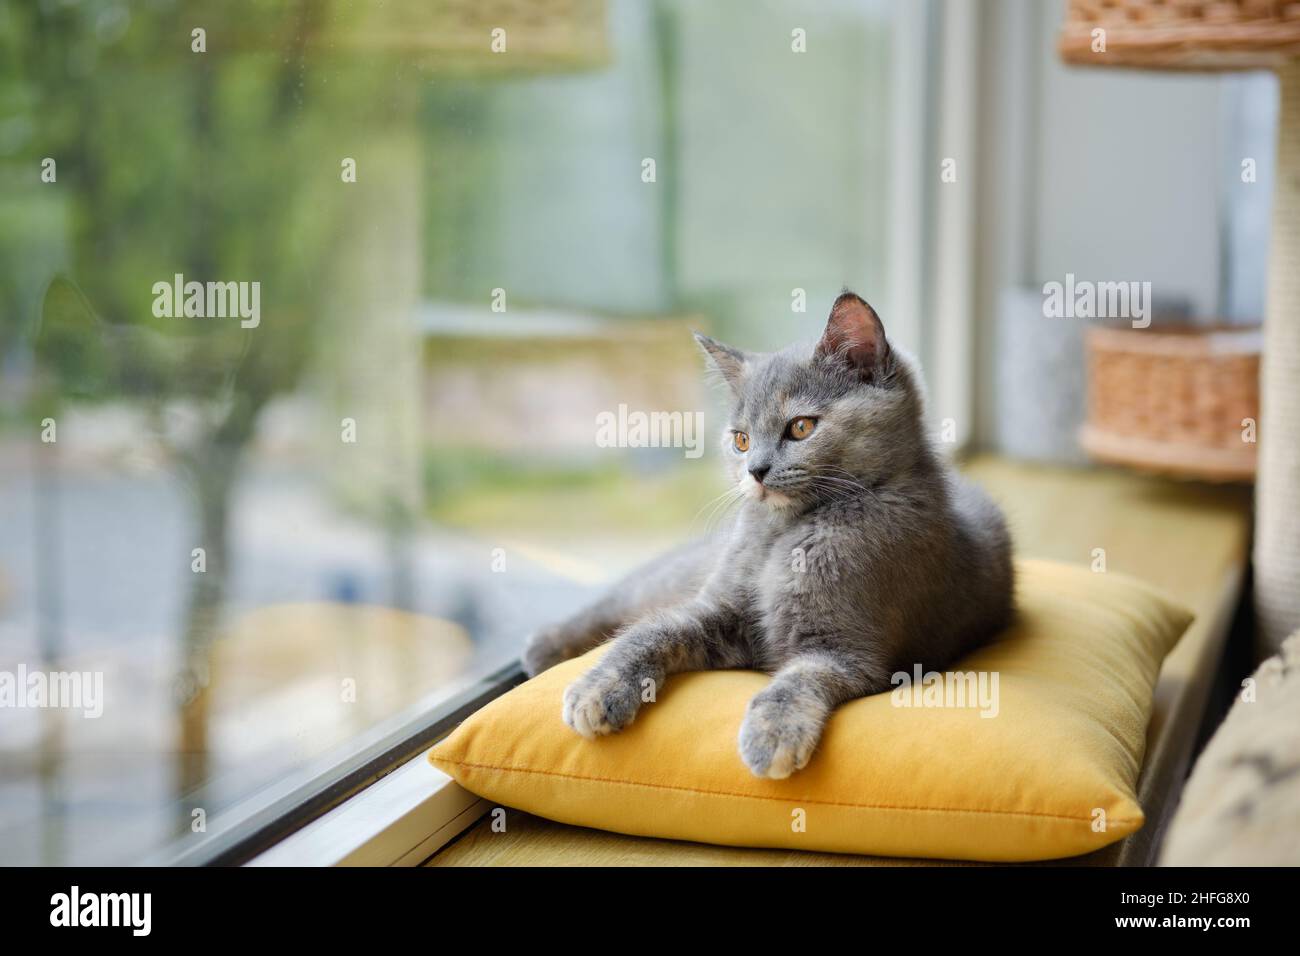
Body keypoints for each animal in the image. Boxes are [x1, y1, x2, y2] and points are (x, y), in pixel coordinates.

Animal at [522, 291, 1008, 780]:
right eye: (740, 440)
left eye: (800, 427)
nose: (755, 470)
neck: (785, 536)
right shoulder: (717, 608)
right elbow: (654, 630)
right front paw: (598, 688)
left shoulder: (854, 653)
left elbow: (803, 676)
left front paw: (772, 734)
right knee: (625, 597)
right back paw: (545, 645)